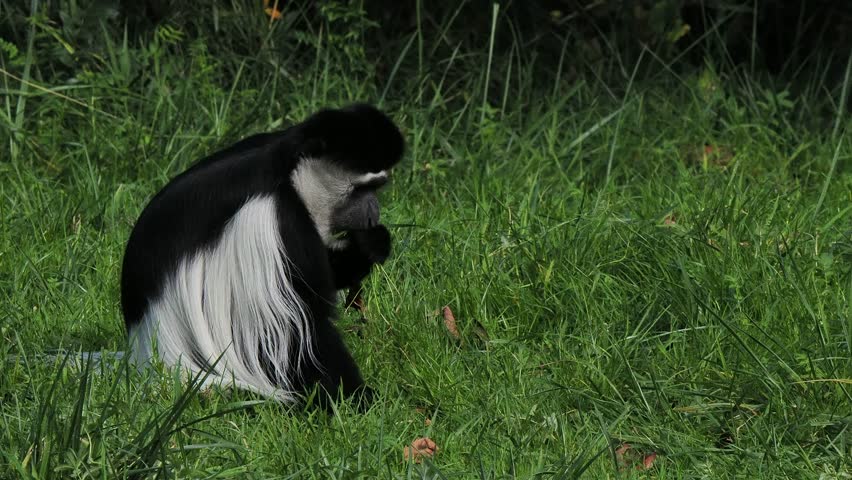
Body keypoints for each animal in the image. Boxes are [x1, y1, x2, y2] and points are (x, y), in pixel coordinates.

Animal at [120, 104, 404, 409]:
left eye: (377, 188)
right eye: (363, 189)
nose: (374, 210)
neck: (287, 171)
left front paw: (370, 244)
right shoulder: (278, 220)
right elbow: (302, 322)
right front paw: (350, 398)